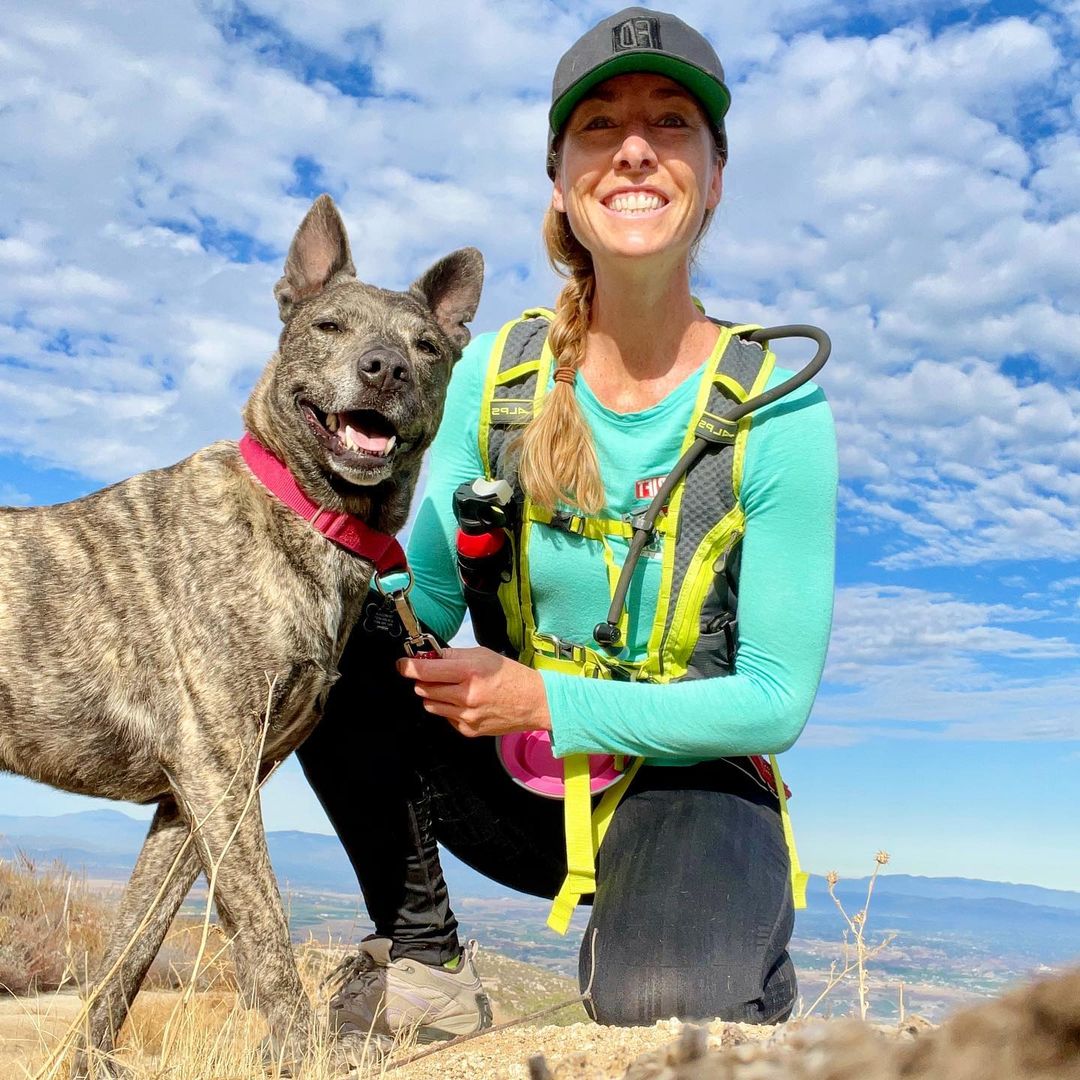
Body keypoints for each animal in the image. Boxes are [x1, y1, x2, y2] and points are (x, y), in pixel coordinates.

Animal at [0, 192, 486, 1071]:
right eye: (329, 325)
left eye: (427, 346)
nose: (385, 369)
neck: (304, 512)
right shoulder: (217, 773)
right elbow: (265, 938)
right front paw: (306, 1056)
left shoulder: (187, 802)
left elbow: (128, 952)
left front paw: (88, 1062)